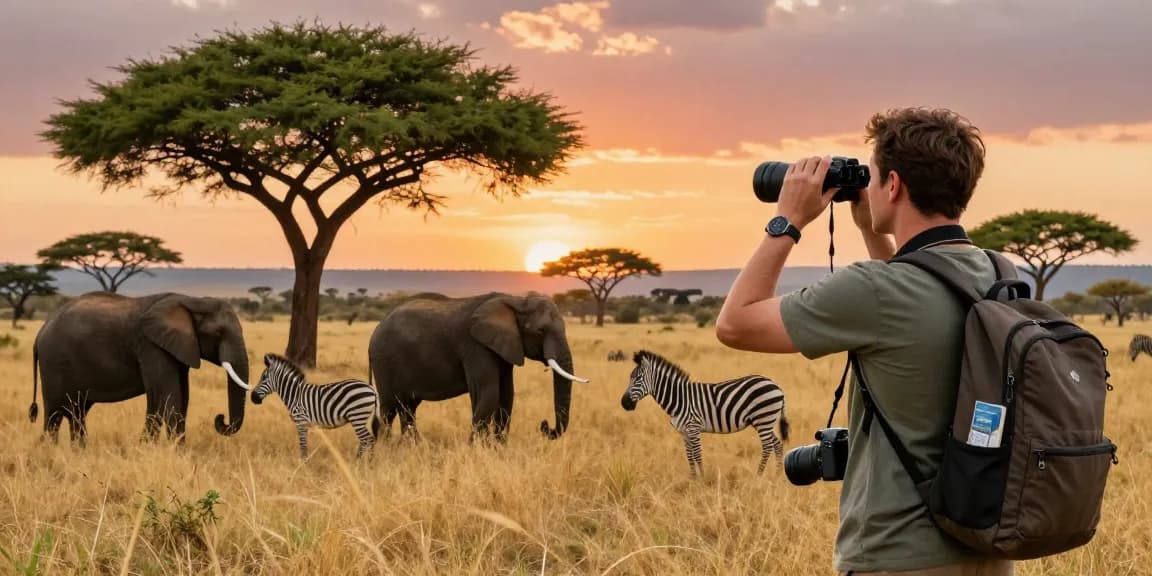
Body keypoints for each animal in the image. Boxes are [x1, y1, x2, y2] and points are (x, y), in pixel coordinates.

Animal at [31, 291, 254, 445]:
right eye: (218, 333)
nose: (220, 418)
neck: (191, 300)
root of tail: (41, 332)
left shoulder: (177, 348)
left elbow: (180, 398)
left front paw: (154, 447)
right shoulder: (151, 346)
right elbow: (168, 396)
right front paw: (171, 452)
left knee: (76, 412)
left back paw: (77, 451)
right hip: (54, 363)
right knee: (55, 414)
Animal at [367, 292, 588, 443]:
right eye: (540, 331)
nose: (544, 425)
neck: (516, 301)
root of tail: (376, 329)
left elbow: (506, 395)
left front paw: (498, 450)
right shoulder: (475, 346)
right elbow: (488, 394)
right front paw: (475, 450)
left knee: (408, 408)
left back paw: (412, 446)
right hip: (384, 361)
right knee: (388, 409)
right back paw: (386, 448)